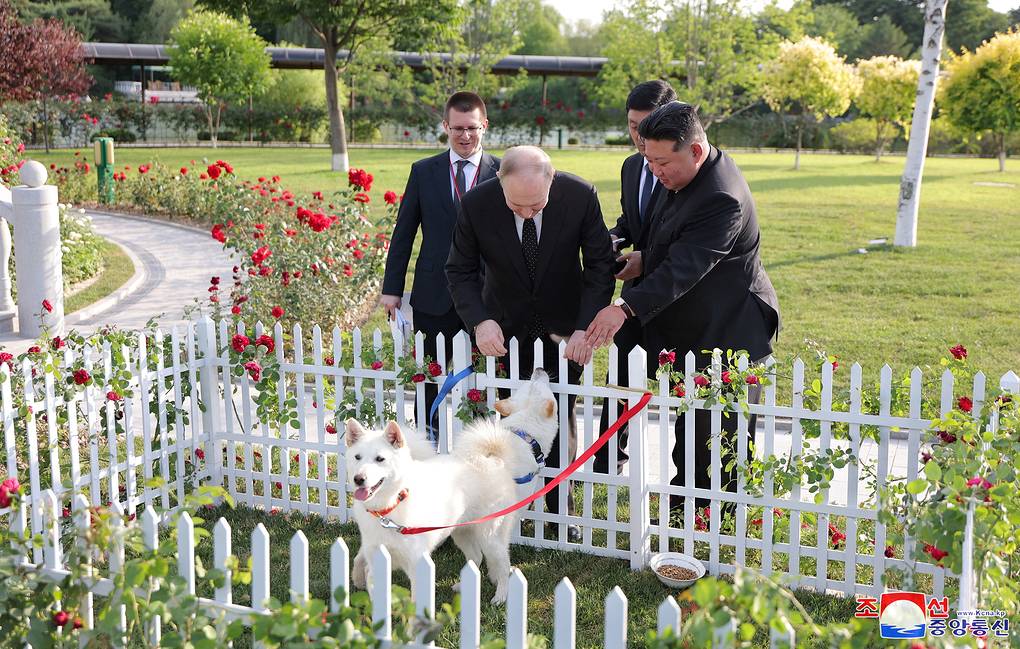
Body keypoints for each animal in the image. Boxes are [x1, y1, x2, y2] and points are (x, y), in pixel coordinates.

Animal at [348, 369, 558, 604]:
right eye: (533, 383)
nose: (539, 369)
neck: (522, 434)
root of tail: (492, 458)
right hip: (473, 531)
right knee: (482, 556)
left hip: (474, 532)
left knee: (492, 561)